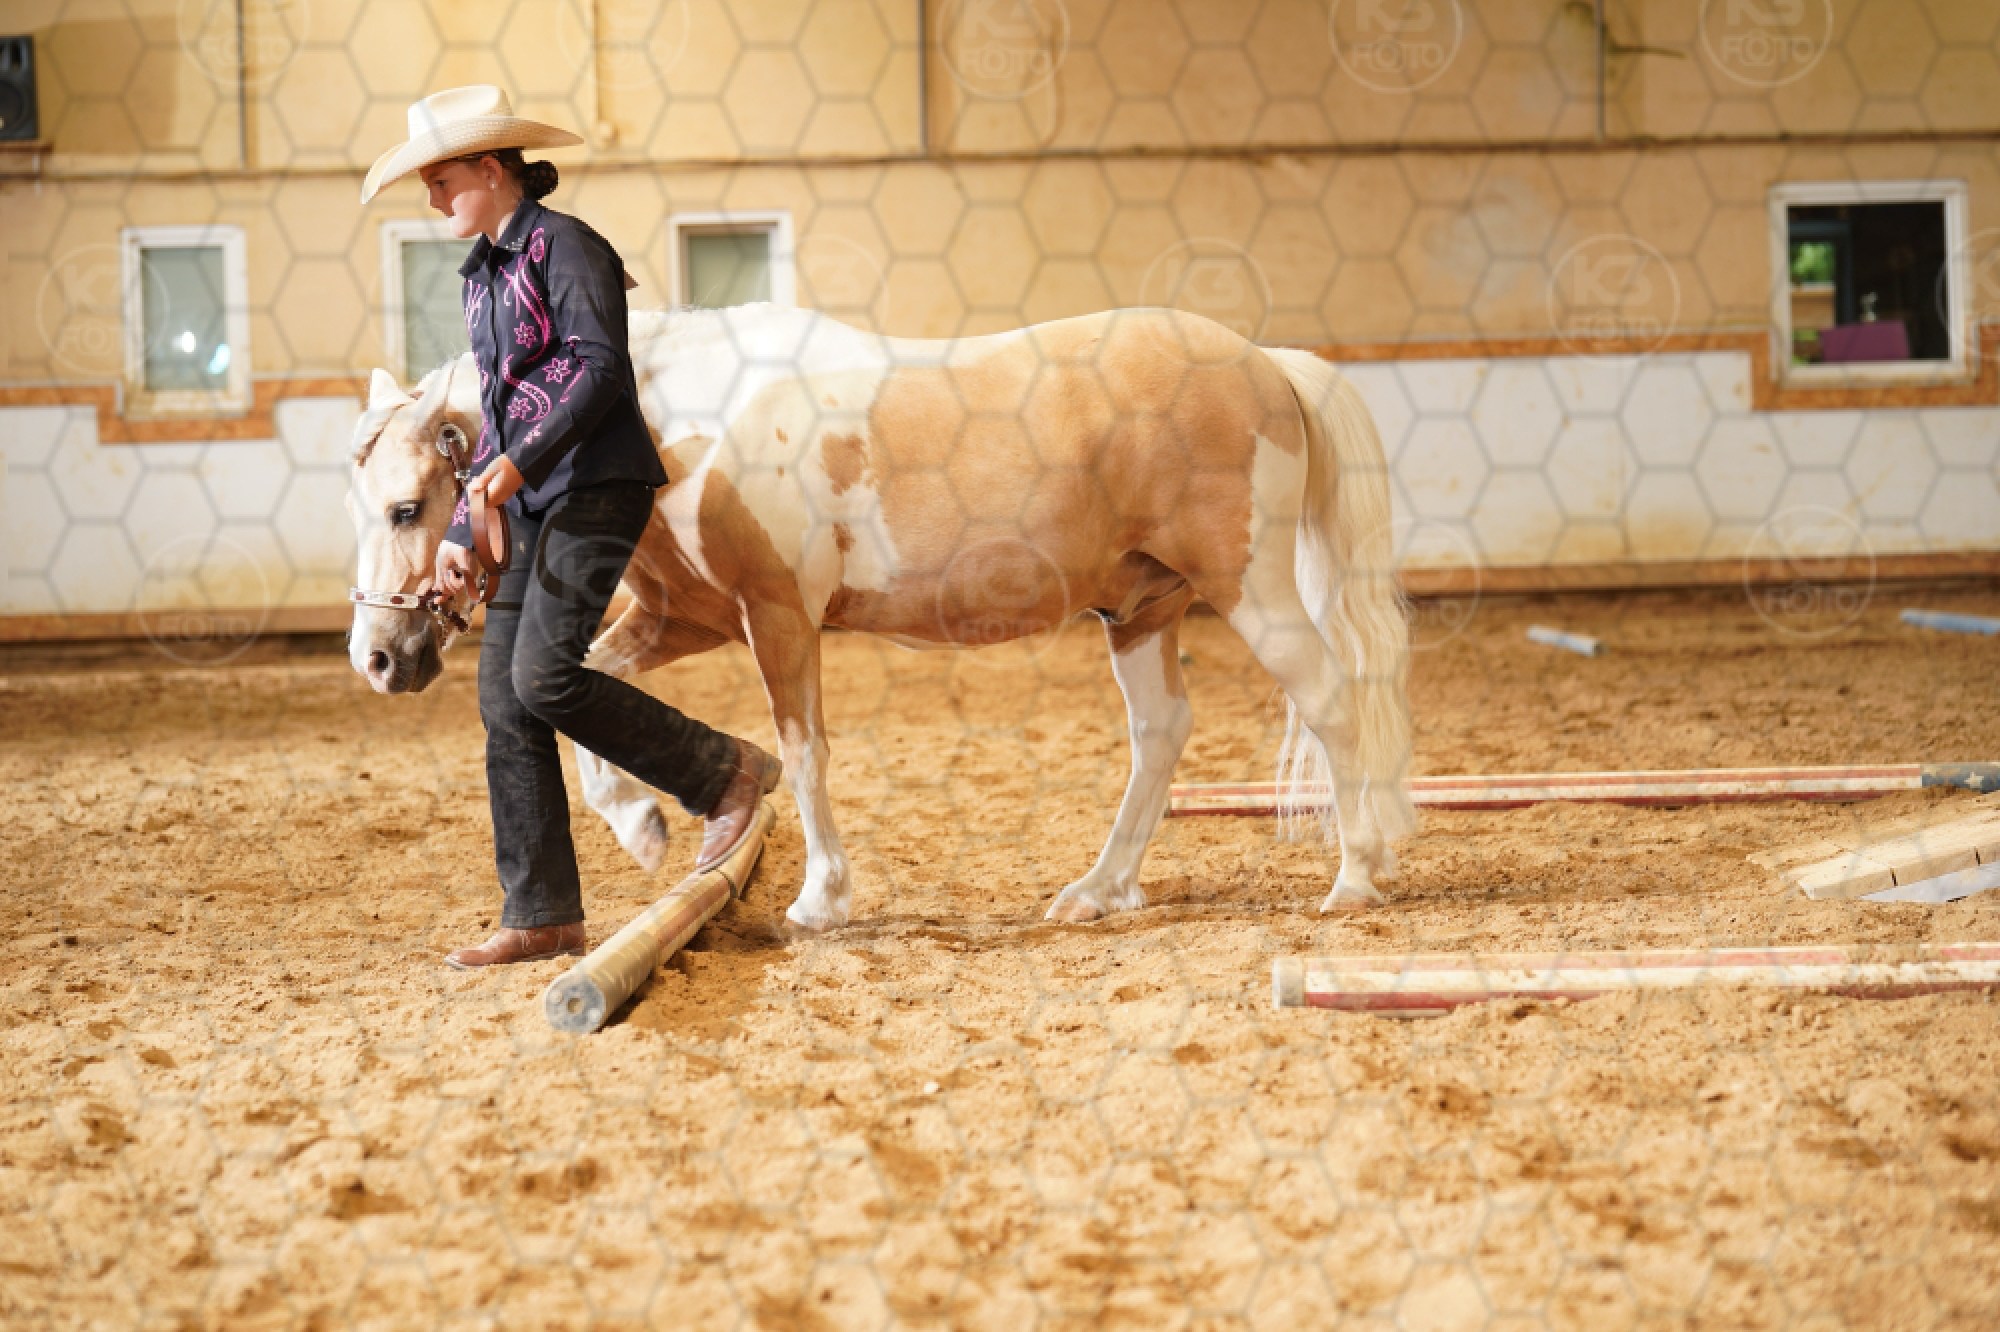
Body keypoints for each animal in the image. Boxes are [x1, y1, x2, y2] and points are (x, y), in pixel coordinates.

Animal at [345, 303, 1417, 929]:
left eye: (405, 507)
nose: (379, 658)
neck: (679, 424)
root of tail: (1266, 363)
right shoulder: (687, 619)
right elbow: (583, 697)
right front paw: (647, 829)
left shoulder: (779, 616)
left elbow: (806, 750)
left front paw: (820, 899)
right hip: (1141, 609)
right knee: (1161, 733)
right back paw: (1097, 892)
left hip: (1250, 589)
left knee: (1331, 699)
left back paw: (1355, 879)